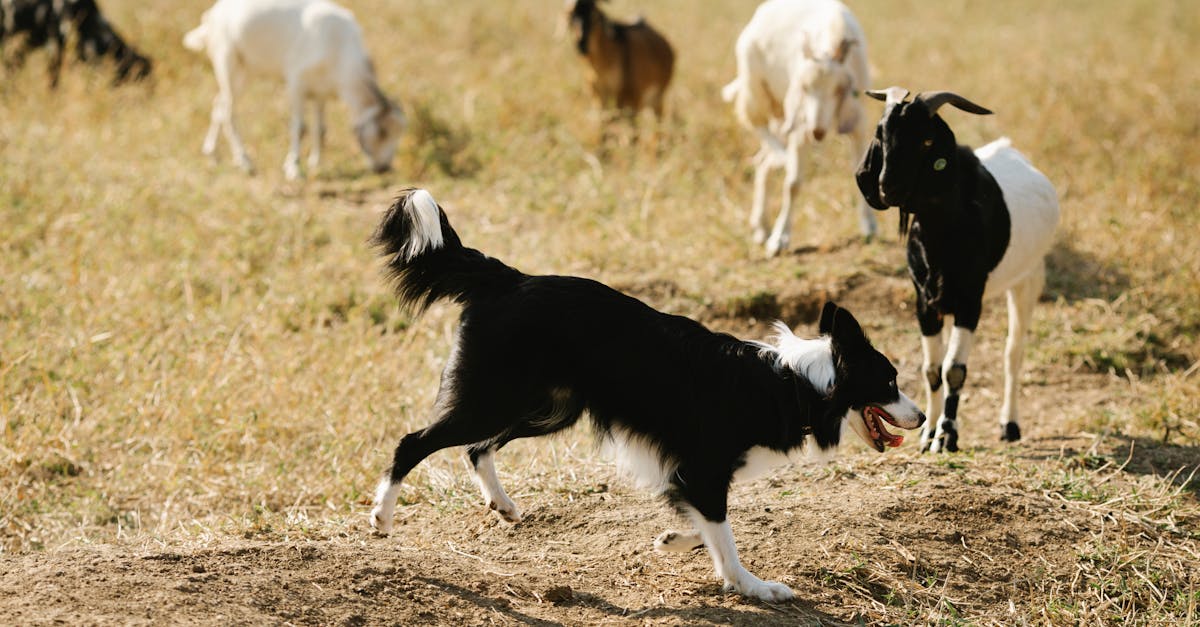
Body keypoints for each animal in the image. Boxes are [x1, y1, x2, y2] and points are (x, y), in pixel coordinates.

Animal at [184, 0, 406, 179]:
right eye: (382, 131)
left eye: (398, 134)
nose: (384, 168)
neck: (339, 45)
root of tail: (212, 15)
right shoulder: (296, 83)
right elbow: (300, 128)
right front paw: (294, 169)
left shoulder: (320, 92)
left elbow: (320, 129)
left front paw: (316, 164)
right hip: (227, 62)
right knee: (229, 111)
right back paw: (245, 162)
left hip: (246, 71)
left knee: (219, 104)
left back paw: (212, 154)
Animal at [722, 0, 875, 257]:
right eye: (804, 87)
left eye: (839, 89)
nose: (817, 132)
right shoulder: (800, 124)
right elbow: (793, 184)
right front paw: (779, 240)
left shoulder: (858, 122)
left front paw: (869, 227)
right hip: (757, 89)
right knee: (756, 123)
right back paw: (780, 158)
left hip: (781, 113)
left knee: (762, 162)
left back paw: (760, 226)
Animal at [856, 87, 1060, 453]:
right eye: (881, 132)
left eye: (925, 140)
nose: (887, 187)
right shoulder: (925, 302)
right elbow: (932, 369)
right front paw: (928, 433)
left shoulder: (970, 301)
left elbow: (955, 370)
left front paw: (947, 435)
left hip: (1028, 280)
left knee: (1013, 353)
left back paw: (1009, 425)